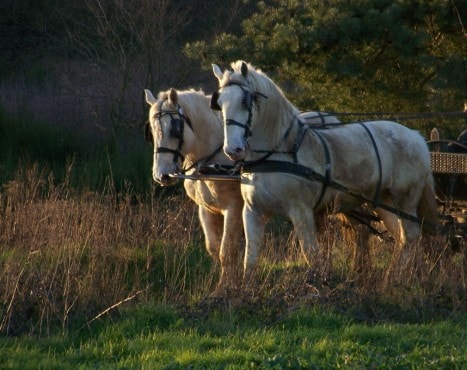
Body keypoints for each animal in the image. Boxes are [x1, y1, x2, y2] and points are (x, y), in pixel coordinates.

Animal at [214, 60, 440, 280]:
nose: (233, 149)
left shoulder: (301, 211)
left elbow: (311, 254)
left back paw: (393, 278)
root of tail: (416, 136)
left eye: (245, 102)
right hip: (383, 201)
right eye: (219, 104)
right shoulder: (253, 212)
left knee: (412, 236)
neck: (276, 152)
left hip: (405, 200)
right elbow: (250, 260)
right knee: (403, 238)